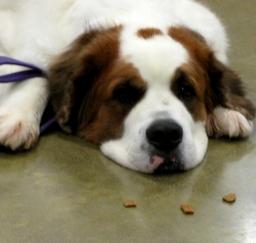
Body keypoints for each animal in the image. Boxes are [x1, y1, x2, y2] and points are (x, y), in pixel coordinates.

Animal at [0, 0, 255, 173]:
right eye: (123, 93)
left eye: (186, 90)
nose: (166, 134)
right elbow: (37, 74)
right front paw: (18, 119)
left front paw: (225, 112)